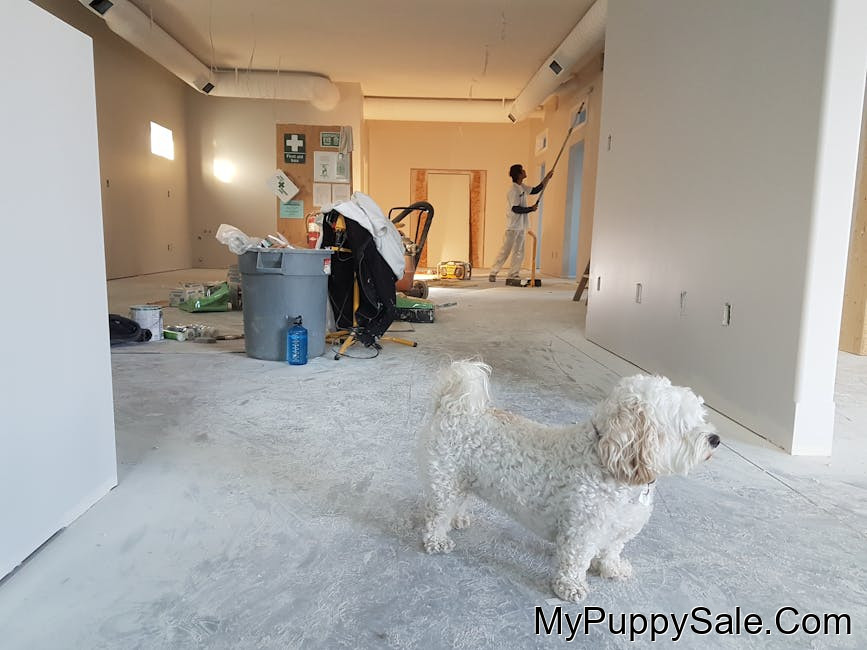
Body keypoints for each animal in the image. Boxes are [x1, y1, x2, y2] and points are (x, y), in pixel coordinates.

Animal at [418, 360, 720, 602]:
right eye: (683, 426)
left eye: (700, 417)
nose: (715, 439)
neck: (607, 461)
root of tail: (454, 406)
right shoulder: (581, 531)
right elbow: (575, 562)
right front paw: (570, 587)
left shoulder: (618, 529)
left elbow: (611, 551)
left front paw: (612, 569)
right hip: (446, 479)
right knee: (437, 513)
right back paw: (437, 539)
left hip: (465, 478)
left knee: (460, 499)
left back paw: (458, 518)